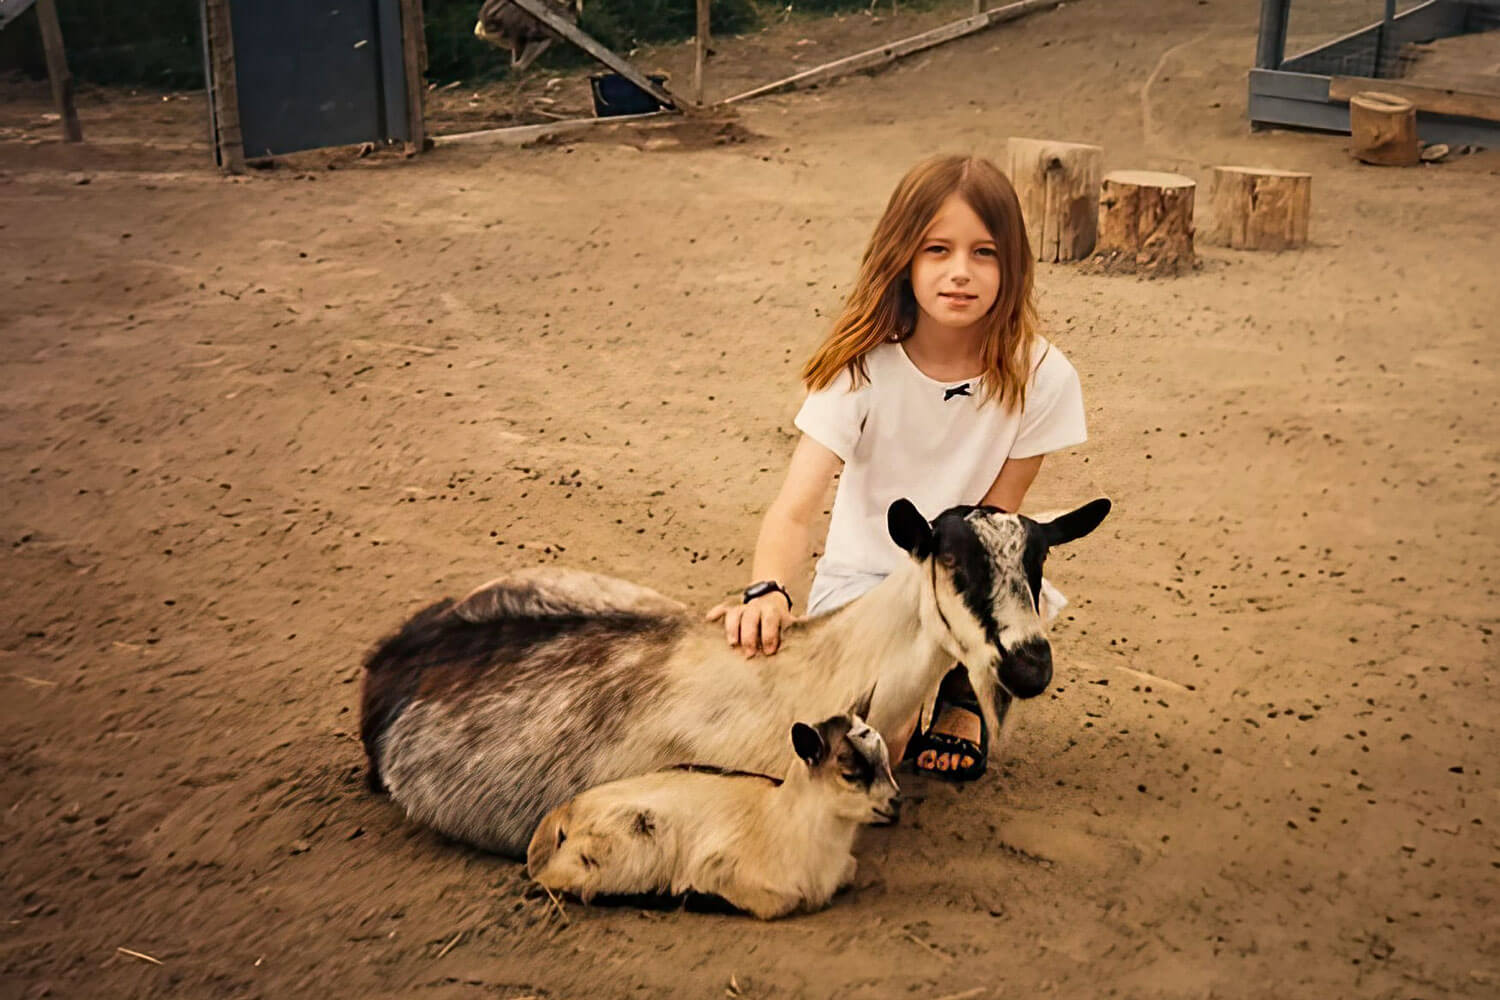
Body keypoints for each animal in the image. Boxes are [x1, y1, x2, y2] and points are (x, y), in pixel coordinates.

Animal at [531, 710, 900, 923]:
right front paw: (694, 896)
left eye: (885, 761)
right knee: (554, 881)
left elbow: (851, 870)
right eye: (850, 772)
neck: (782, 818)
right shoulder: (721, 867)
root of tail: (567, 810)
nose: (896, 803)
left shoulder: (843, 867)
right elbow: (780, 903)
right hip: (632, 843)